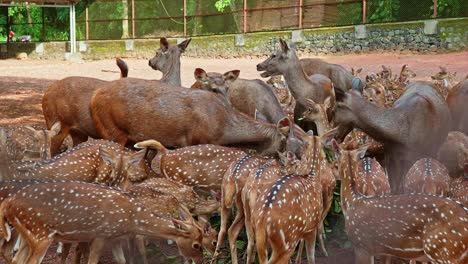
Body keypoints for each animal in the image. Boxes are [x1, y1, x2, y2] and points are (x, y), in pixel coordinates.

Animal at [0, 182, 205, 264]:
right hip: (40, 234)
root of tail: (8, 204)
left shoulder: (114, 238)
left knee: (17, 259)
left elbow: (123, 261)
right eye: (197, 244)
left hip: (28, 235)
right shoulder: (101, 234)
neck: (131, 218)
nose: (200, 261)